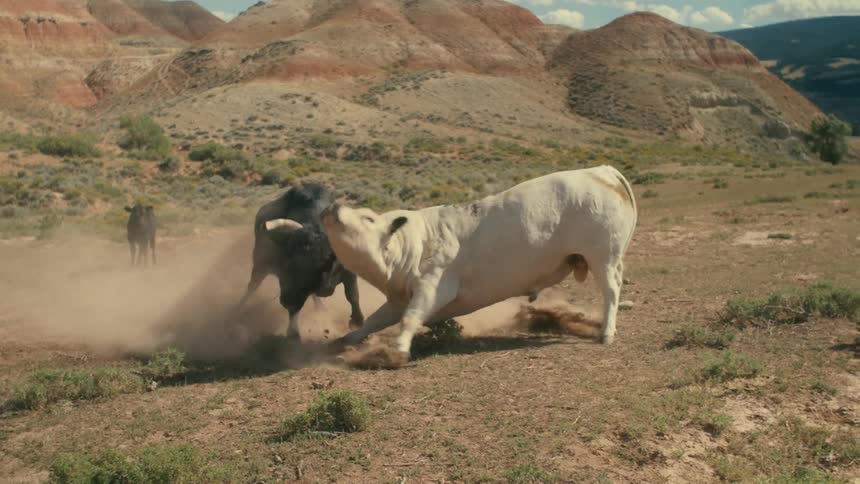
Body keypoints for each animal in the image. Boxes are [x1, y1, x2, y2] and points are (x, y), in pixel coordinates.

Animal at [243, 183, 364, 341]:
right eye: (289, 262)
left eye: (323, 262)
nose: (285, 300)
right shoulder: (291, 287)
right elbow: (295, 310)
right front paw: (293, 334)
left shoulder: (349, 273)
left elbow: (352, 295)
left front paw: (357, 321)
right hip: (260, 265)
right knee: (252, 286)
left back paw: (320, 308)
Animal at [297, 165, 637, 365]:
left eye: (367, 217)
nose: (333, 207)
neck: (414, 244)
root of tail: (604, 171)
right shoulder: (397, 299)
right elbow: (374, 320)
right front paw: (348, 339)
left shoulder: (433, 286)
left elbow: (411, 317)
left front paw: (399, 349)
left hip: (602, 256)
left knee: (611, 291)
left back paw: (606, 331)